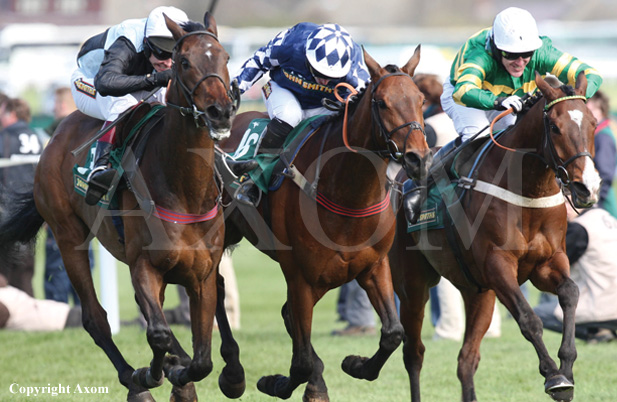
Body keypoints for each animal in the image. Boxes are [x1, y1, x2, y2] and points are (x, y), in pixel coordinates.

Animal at [0, 12, 245, 402]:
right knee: (95, 319)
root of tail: (54, 135)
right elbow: (158, 333)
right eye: (184, 62)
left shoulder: (202, 272)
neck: (184, 188)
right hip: (68, 237)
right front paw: (155, 373)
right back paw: (135, 379)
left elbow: (202, 355)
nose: (220, 112)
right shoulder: (145, 264)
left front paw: (211, 373)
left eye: (225, 58)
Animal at [219, 48, 430, 402]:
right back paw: (229, 374)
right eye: (382, 102)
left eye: (421, 99)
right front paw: (278, 382)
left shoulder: (372, 267)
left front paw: (355, 364)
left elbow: (393, 332)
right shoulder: (301, 277)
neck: (348, 193)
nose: (418, 159)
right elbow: (302, 359)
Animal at [390, 72, 596, 402]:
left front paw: (567, 365)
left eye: (592, 122)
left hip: (477, 291)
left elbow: (570, 293)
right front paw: (554, 376)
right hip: (412, 283)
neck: (528, 191)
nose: (586, 187)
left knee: (466, 359)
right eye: (555, 127)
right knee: (414, 353)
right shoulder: (498, 266)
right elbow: (529, 319)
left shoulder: (547, 263)